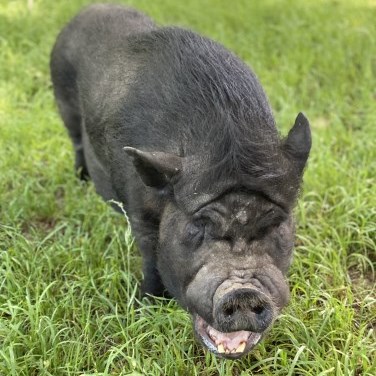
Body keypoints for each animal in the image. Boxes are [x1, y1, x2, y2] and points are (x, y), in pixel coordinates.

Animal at [50, 4, 312, 360]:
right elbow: (150, 258)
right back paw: (80, 181)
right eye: (197, 227)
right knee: (76, 141)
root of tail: (86, 11)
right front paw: (146, 305)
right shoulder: (138, 211)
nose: (243, 293)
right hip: (64, 104)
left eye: (277, 227)